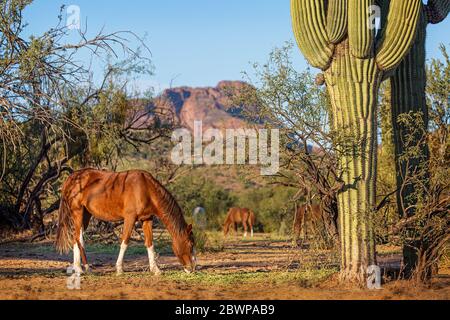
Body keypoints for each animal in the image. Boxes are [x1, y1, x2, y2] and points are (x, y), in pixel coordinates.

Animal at [55, 169, 196, 276]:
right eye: (190, 244)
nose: (192, 268)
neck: (146, 188)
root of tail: (73, 177)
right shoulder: (130, 218)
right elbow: (125, 242)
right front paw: (119, 269)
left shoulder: (146, 219)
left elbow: (150, 243)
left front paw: (155, 269)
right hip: (77, 212)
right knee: (78, 239)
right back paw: (85, 268)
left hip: (85, 214)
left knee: (76, 238)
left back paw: (78, 268)